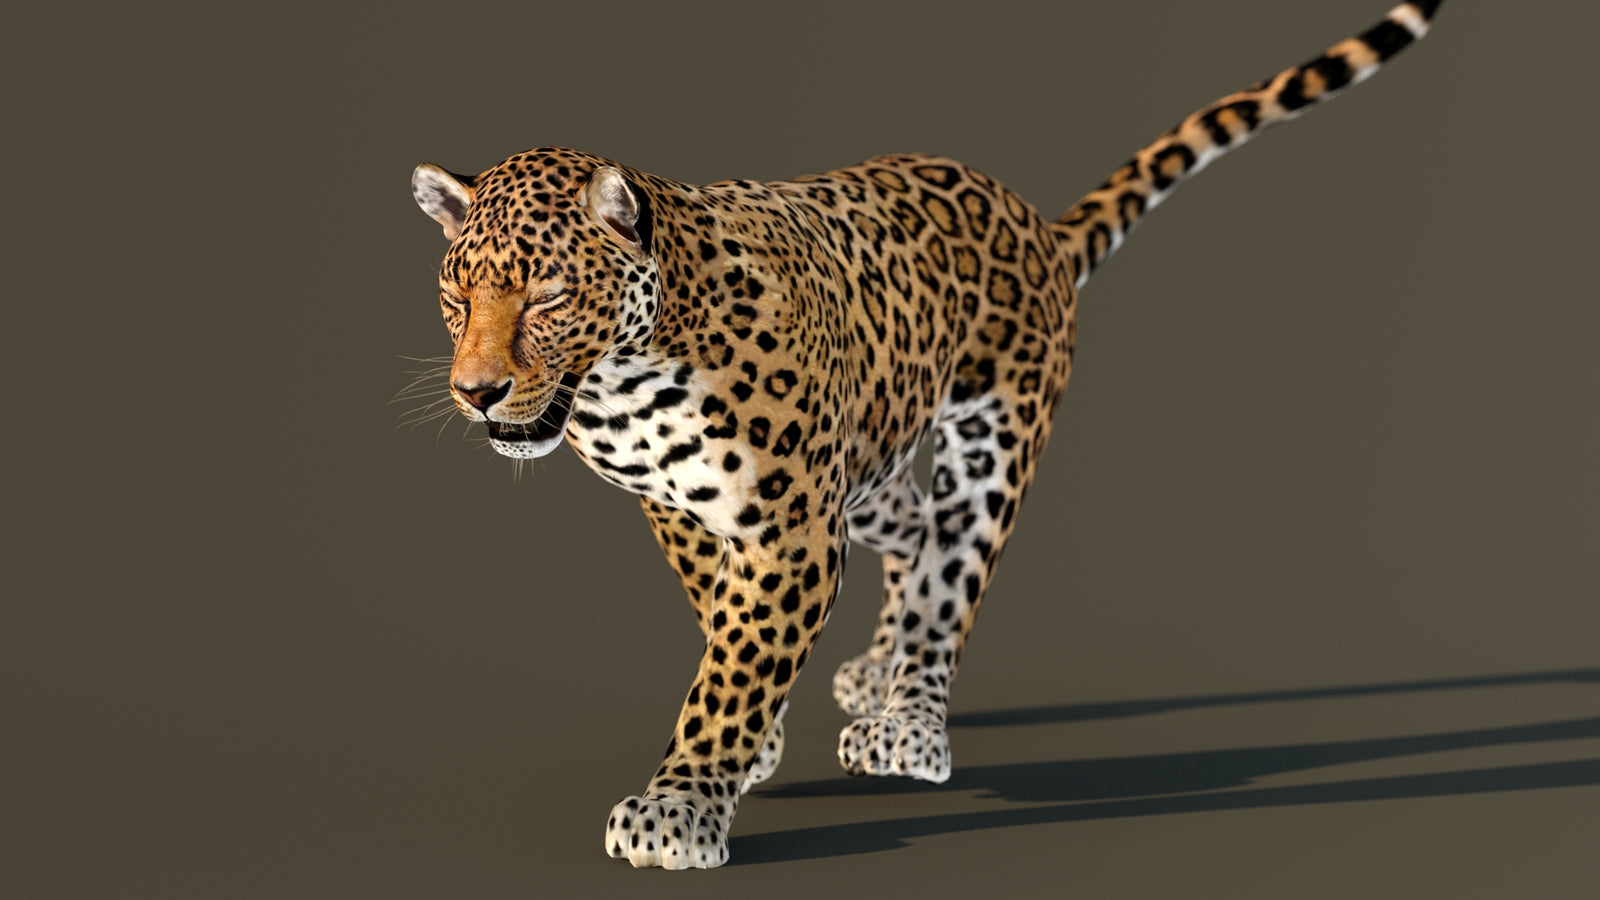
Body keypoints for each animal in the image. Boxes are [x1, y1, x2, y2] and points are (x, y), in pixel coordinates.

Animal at [406, 1, 1442, 869]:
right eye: (457, 296)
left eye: (548, 295)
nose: (478, 392)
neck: (625, 382)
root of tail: (1037, 226)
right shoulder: (689, 510)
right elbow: (722, 621)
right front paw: (753, 747)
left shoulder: (790, 529)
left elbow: (736, 665)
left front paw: (682, 804)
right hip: (870, 461)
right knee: (912, 537)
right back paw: (877, 670)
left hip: (988, 442)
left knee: (951, 577)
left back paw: (908, 720)